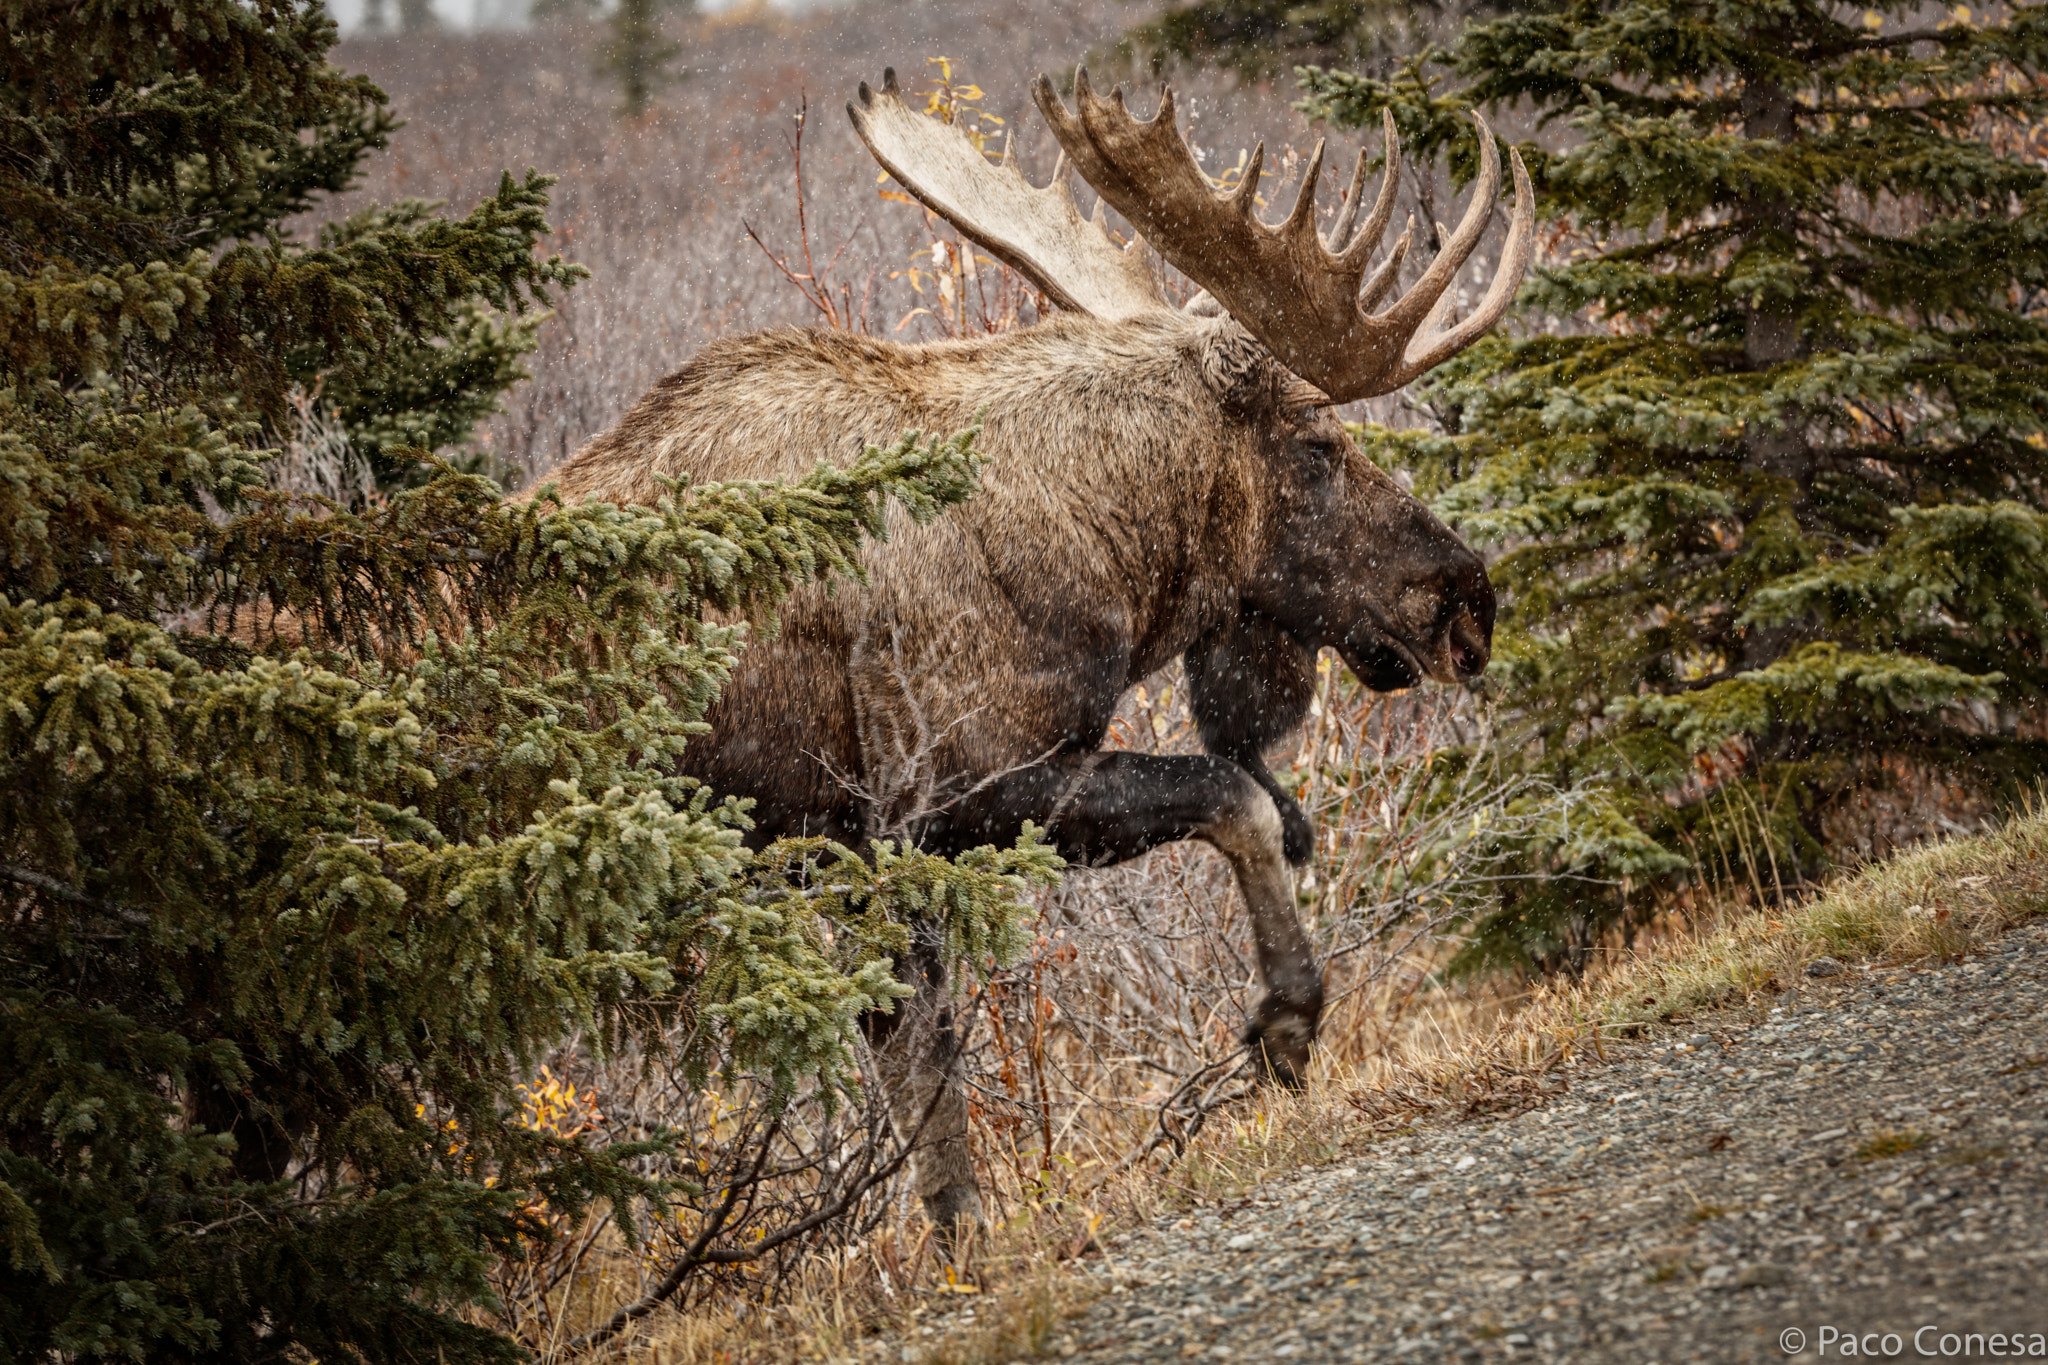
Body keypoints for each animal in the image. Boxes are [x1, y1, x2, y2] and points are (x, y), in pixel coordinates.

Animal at [536, 69, 1531, 1236]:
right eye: (1319, 446)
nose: (1468, 605)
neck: (1097, 549)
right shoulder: (944, 798)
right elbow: (1231, 799)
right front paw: (1286, 1018)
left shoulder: (856, 850)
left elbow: (921, 1077)